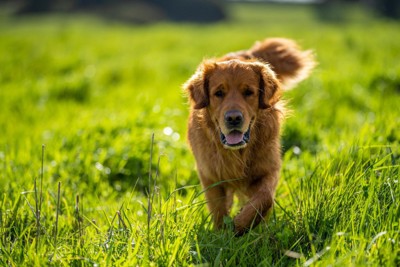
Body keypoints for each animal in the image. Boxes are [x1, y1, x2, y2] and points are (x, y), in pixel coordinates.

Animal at [184, 38, 316, 237]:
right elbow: (218, 209)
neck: (239, 152)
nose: (233, 118)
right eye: (218, 93)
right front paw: (221, 234)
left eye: (248, 92)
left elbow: (264, 198)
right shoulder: (209, 174)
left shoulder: (269, 168)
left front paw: (241, 224)